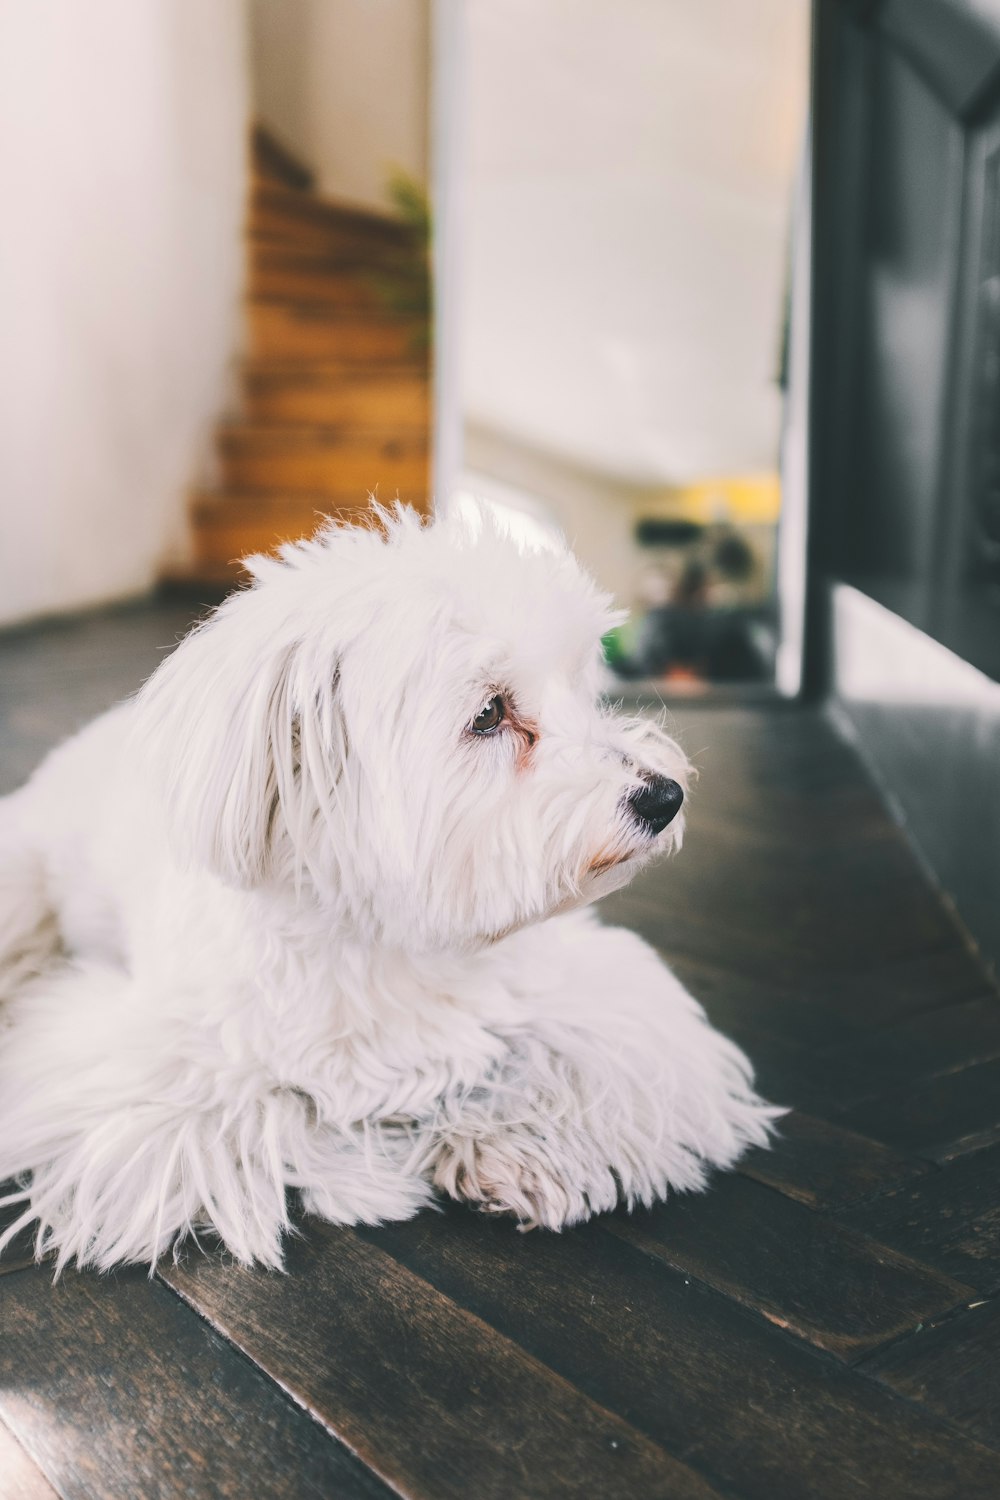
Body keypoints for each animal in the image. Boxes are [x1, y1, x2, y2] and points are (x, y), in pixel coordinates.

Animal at [0, 504, 779, 1266]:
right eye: (488, 714)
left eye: (580, 689)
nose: (664, 796)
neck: (392, 939)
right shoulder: (145, 1077)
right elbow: (269, 1111)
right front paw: (375, 1175)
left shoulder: (602, 998)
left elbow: (585, 1056)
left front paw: (520, 1146)